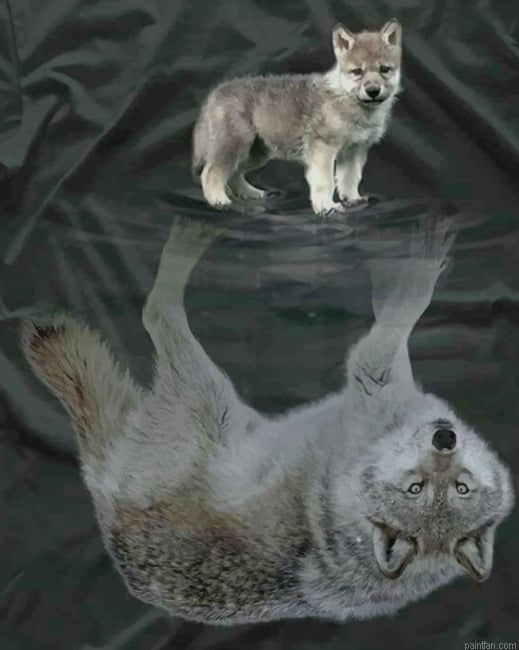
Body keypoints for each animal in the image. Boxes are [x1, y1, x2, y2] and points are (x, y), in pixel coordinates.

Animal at [21, 216, 514, 625]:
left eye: (458, 487)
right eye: (419, 489)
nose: (445, 438)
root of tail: (103, 499)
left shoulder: (372, 376)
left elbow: (403, 310)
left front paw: (415, 266)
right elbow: (401, 311)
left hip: (207, 395)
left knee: (156, 310)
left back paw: (187, 241)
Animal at [192, 19, 403, 216]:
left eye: (384, 69)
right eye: (357, 72)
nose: (373, 91)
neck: (347, 100)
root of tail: (215, 93)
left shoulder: (354, 151)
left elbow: (350, 179)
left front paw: (353, 200)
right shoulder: (323, 148)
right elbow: (325, 181)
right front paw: (326, 207)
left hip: (255, 152)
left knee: (233, 173)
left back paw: (250, 193)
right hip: (235, 145)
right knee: (211, 172)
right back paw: (218, 201)